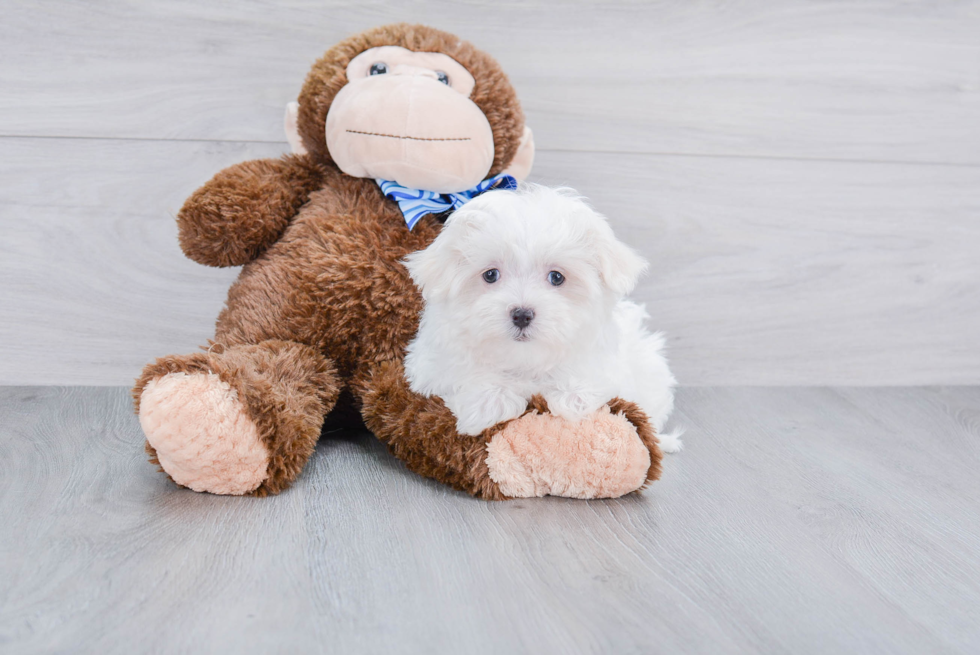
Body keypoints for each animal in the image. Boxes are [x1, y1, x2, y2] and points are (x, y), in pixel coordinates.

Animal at [400, 183, 680, 452]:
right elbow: (464, 372)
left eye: (556, 277)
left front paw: (572, 401)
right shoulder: (431, 364)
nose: (522, 314)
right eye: (490, 275)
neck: (525, 360)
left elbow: (587, 376)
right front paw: (488, 403)